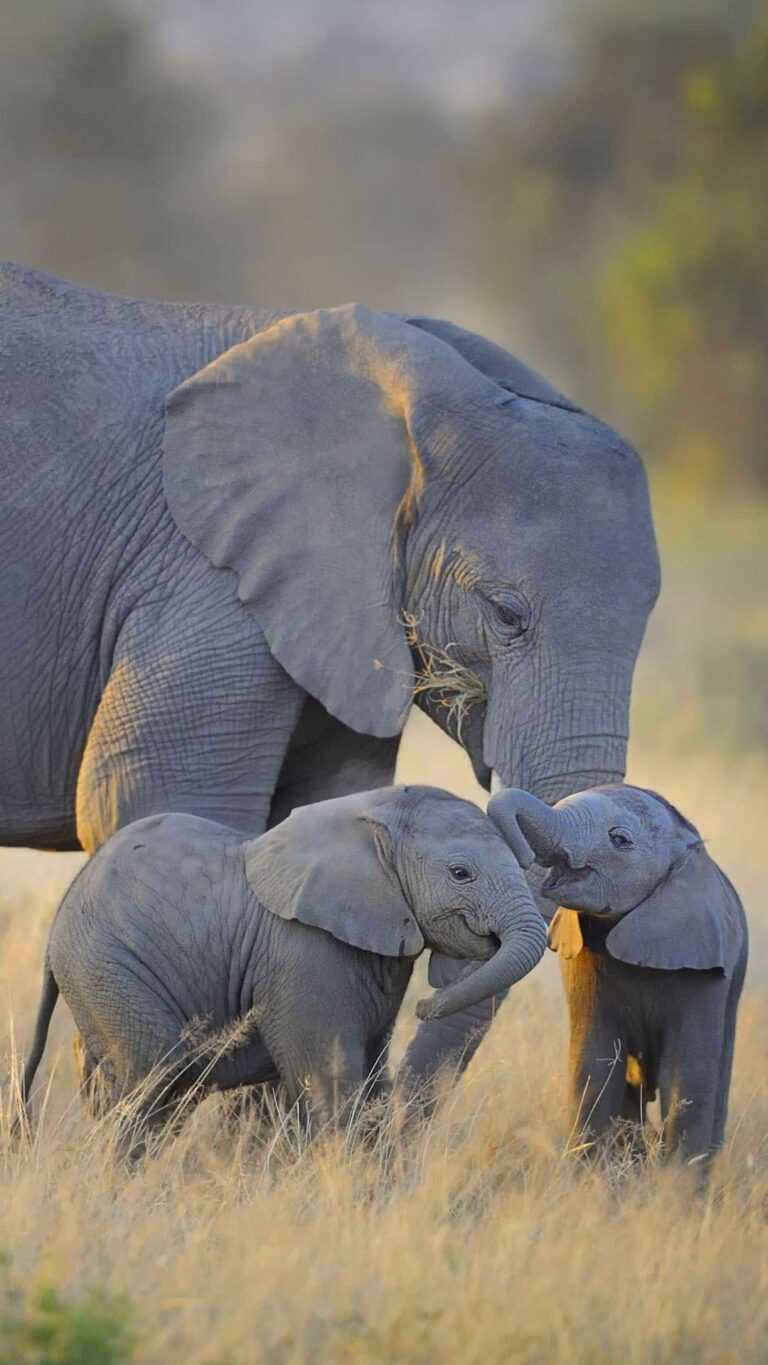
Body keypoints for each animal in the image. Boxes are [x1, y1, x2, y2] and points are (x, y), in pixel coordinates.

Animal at [20, 786, 547, 1150]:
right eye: (461, 874)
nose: (425, 1005)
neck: (374, 815)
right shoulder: (305, 953)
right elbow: (331, 1082)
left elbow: (373, 1080)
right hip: (108, 967)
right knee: (157, 1078)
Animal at [488, 784, 748, 1167]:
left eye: (620, 840)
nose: (521, 856)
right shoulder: (583, 958)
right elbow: (594, 1064)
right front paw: (593, 1178)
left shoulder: (705, 966)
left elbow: (686, 1076)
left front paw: (676, 1184)